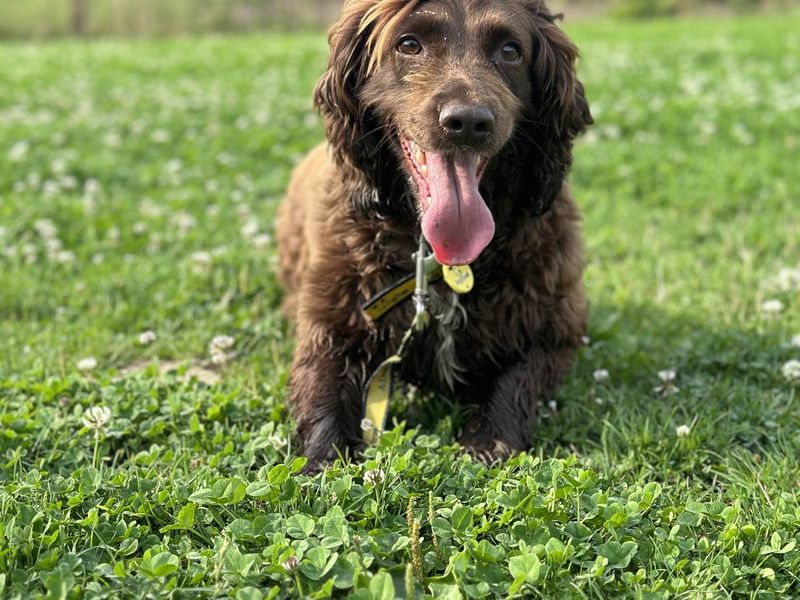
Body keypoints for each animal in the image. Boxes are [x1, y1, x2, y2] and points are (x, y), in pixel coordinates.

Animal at [278, 0, 592, 472]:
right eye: (409, 44)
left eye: (510, 51)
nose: (467, 122)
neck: (444, 263)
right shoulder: (333, 323)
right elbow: (323, 392)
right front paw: (323, 462)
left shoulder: (551, 328)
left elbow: (518, 380)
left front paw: (488, 439)